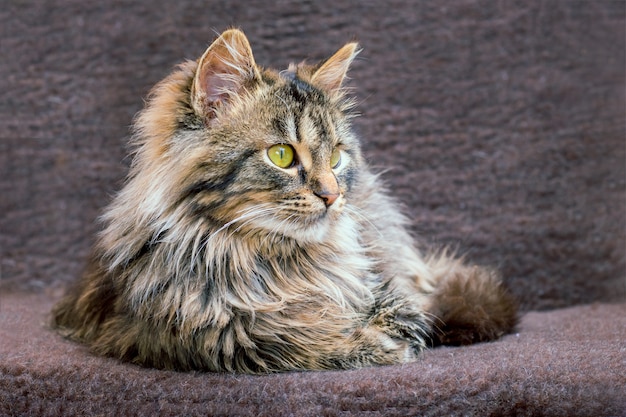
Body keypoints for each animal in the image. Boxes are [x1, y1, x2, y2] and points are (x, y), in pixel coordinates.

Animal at [51, 29, 516, 374]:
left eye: (336, 156)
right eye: (281, 156)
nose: (332, 194)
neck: (273, 262)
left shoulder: (382, 285)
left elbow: (403, 313)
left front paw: (387, 334)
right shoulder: (203, 335)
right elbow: (297, 336)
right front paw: (370, 342)